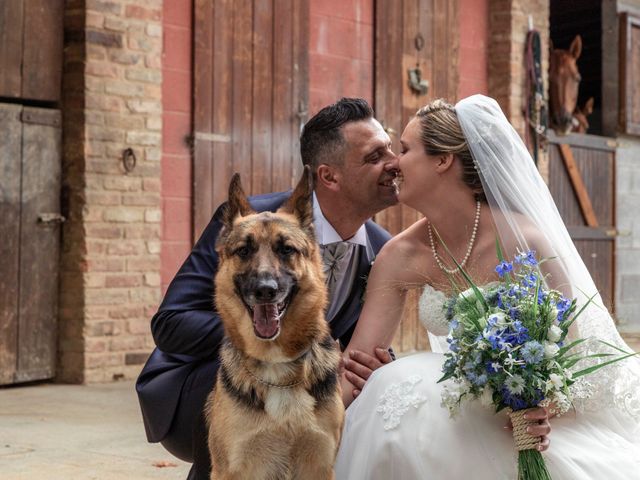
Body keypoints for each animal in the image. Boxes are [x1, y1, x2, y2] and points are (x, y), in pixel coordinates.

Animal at [208, 167, 342, 478]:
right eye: (244, 250)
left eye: (286, 250)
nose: (265, 290)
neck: (276, 365)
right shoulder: (231, 469)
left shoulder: (320, 465)